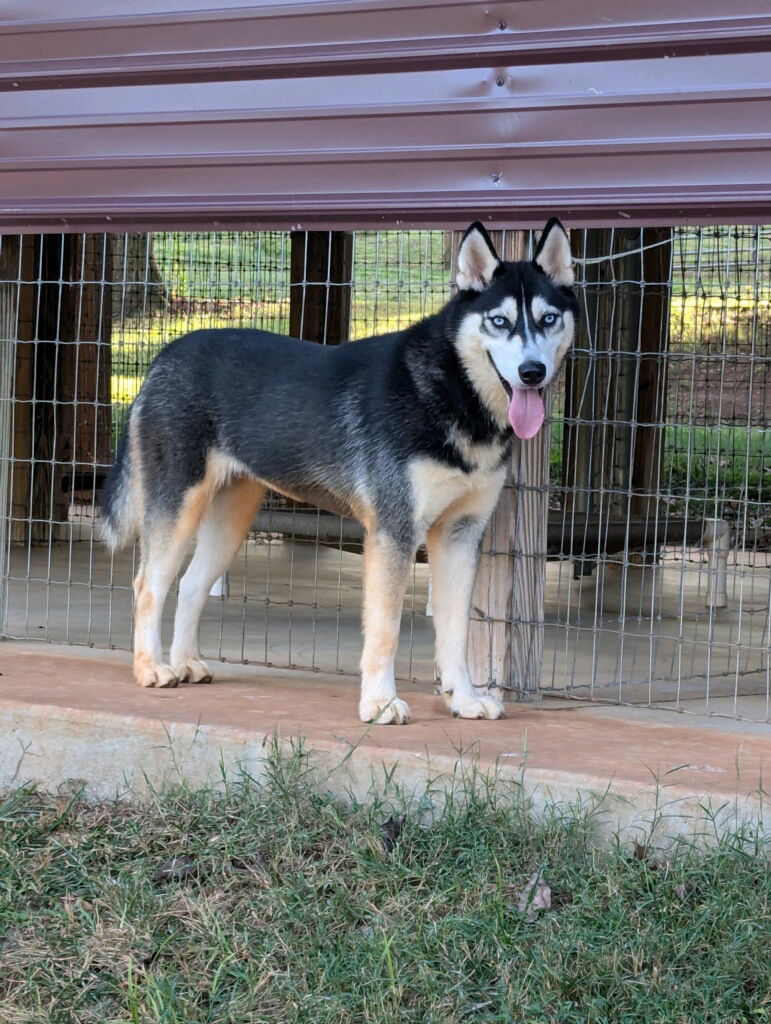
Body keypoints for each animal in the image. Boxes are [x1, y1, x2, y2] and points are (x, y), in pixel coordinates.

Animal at [99, 220, 573, 724]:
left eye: (548, 319)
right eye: (499, 321)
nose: (532, 371)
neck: (452, 390)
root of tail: (164, 355)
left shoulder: (460, 534)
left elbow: (456, 631)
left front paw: (462, 699)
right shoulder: (394, 532)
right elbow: (384, 631)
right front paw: (380, 703)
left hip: (231, 519)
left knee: (190, 584)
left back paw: (186, 661)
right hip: (179, 505)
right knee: (148, 585)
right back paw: (151, 668)